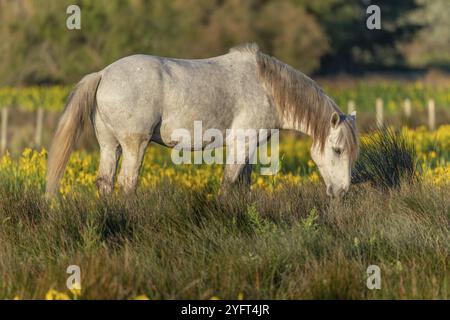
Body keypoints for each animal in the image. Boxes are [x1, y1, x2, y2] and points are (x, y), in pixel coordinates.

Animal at [47, 43, 358, 198]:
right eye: (337, 150)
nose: (342, 191)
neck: (267, 88)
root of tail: (103, 74)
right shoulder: (242, 143)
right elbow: (228, 183)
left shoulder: (250, 148)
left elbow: (243, 185)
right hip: (136, 145)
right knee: (127, 182)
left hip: (110, 146)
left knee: (105, 181)